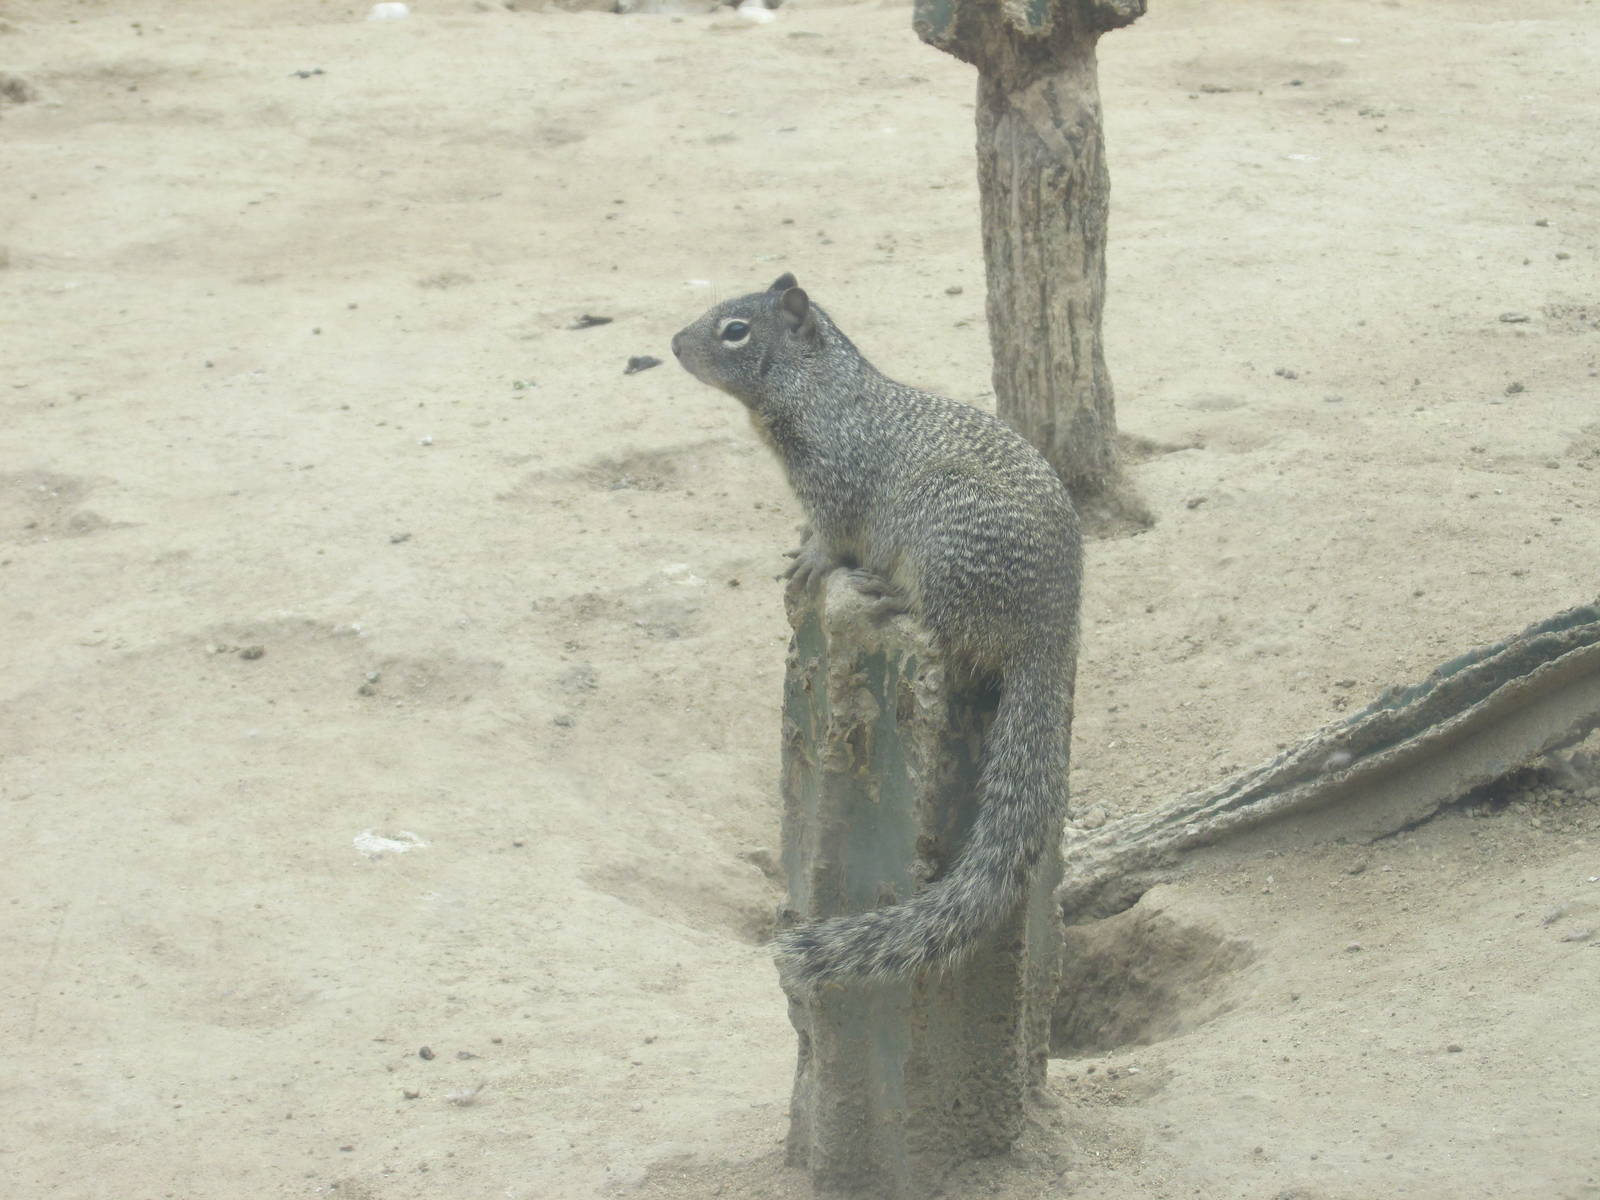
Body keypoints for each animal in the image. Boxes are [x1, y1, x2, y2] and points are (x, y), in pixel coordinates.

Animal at [671, 273, 1082, 984]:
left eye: (735, 331)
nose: (672, 343)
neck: (820, 391)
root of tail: (1052, 629)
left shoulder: (835, 485)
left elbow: (833, 535)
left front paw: (813, 560)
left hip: (940, 536)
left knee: (945, 625)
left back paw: (889, 594)